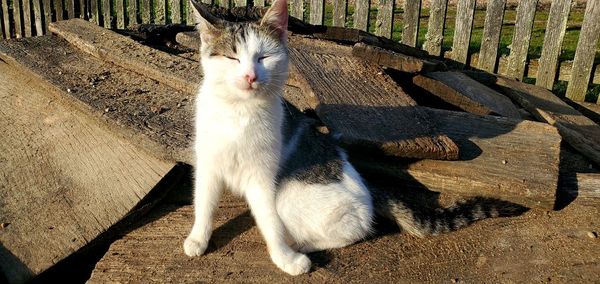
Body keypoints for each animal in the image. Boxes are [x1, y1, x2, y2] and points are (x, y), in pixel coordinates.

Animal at [183, 0, 524, 276]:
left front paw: (284, 257)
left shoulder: (262, 179)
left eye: (264, 57)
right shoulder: (208, 166)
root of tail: (370, 189)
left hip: (291, 195)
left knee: (355, 228)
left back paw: (300, 244)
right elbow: (203, 203)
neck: (238, 113)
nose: (250, 76)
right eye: (232, 58)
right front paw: (198, 239)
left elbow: (269, 221)